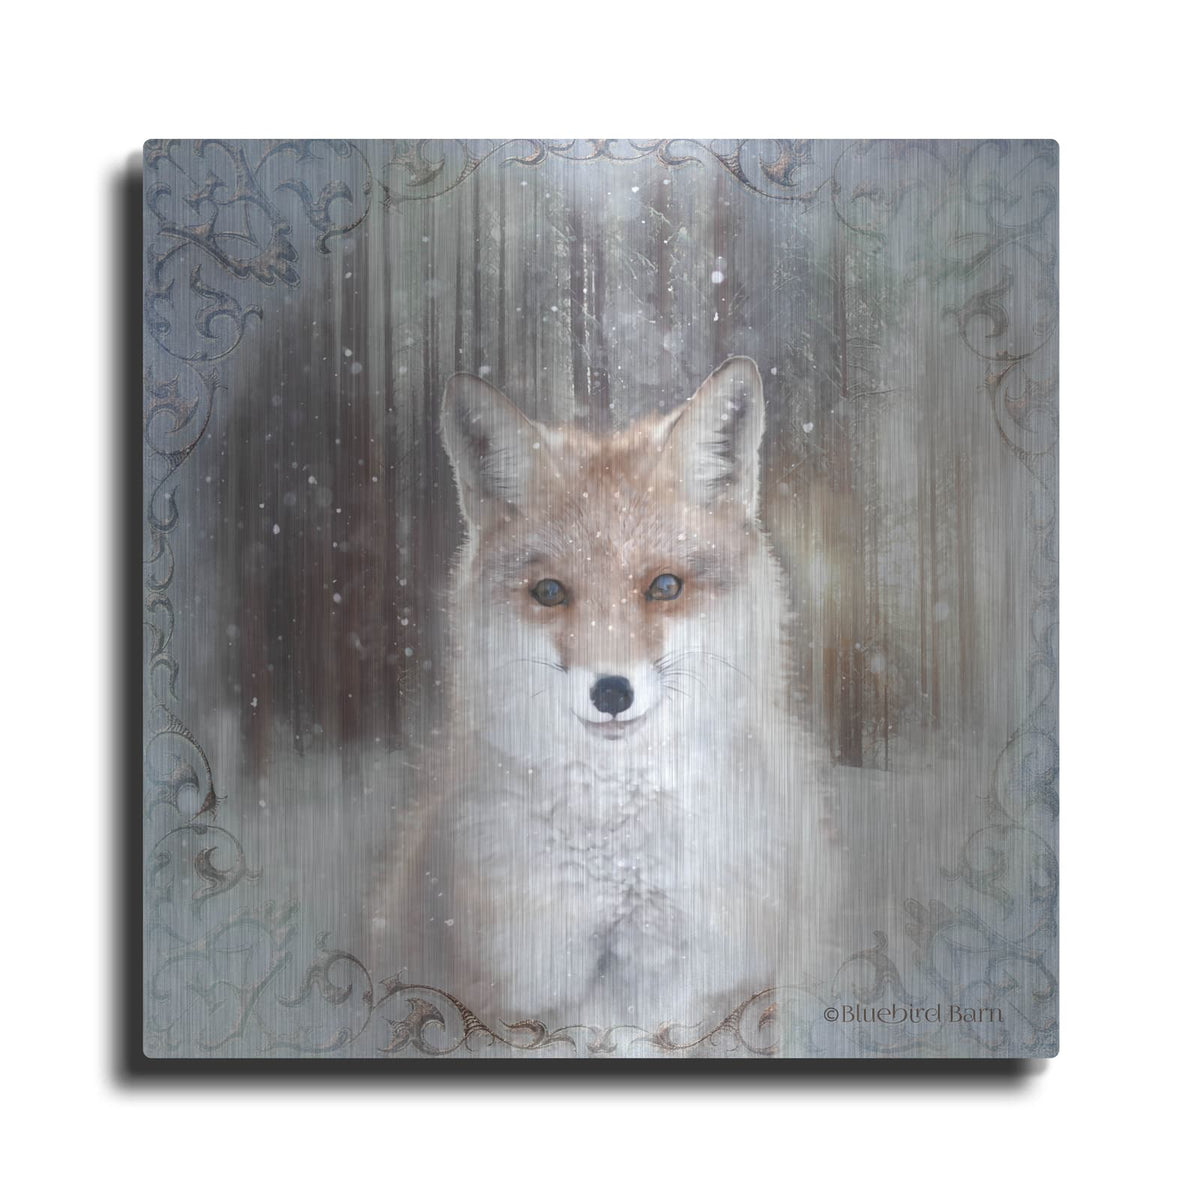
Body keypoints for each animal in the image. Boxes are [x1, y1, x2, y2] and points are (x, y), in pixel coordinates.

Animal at [371, 356, 826, 1039]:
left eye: (664, 586)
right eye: (550, 592)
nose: (612, 691)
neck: (622, 879)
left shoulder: (724, 994)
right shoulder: (521, 1003)